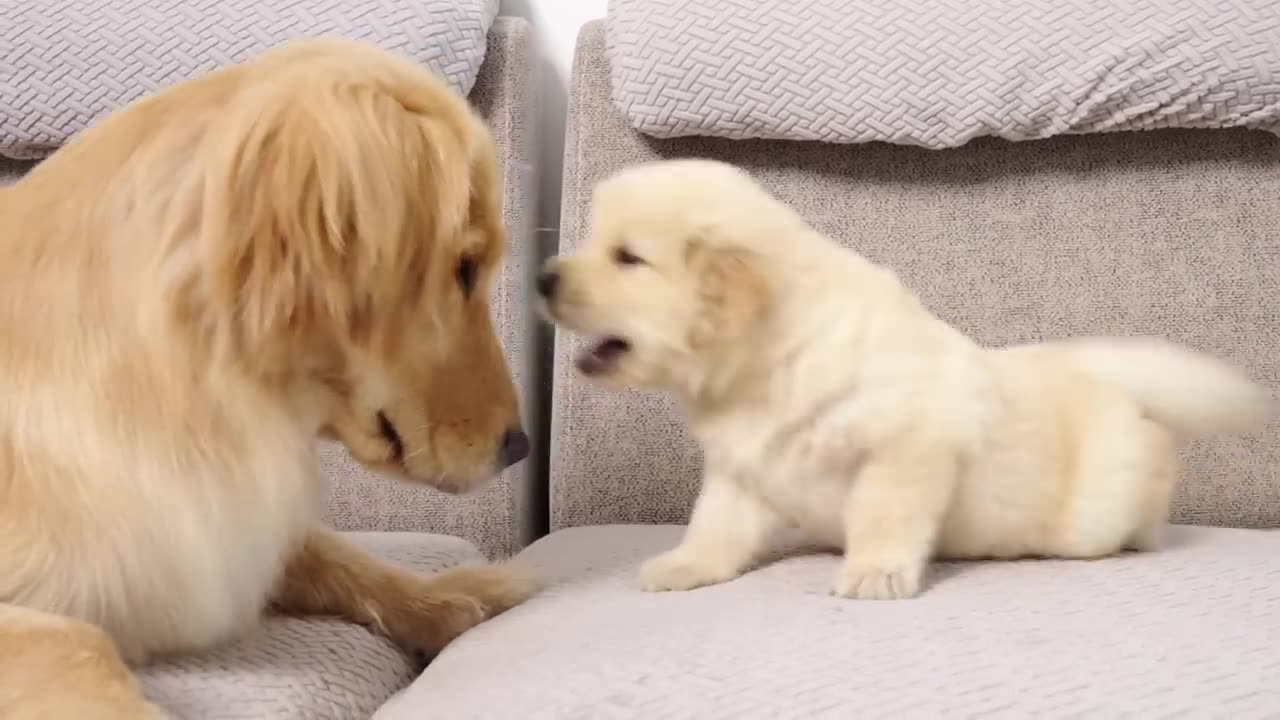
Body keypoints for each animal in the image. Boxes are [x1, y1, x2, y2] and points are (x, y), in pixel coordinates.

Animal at [535, 158, 1264, 599]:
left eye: (628, 258)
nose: (543, 278)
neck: (765, 366)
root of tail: (1096, 369)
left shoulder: (904, 449)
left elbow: (883, 514)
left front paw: (875, 574)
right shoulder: (742, 470)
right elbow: (715, 525)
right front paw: (687, 566)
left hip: (1100, 506)